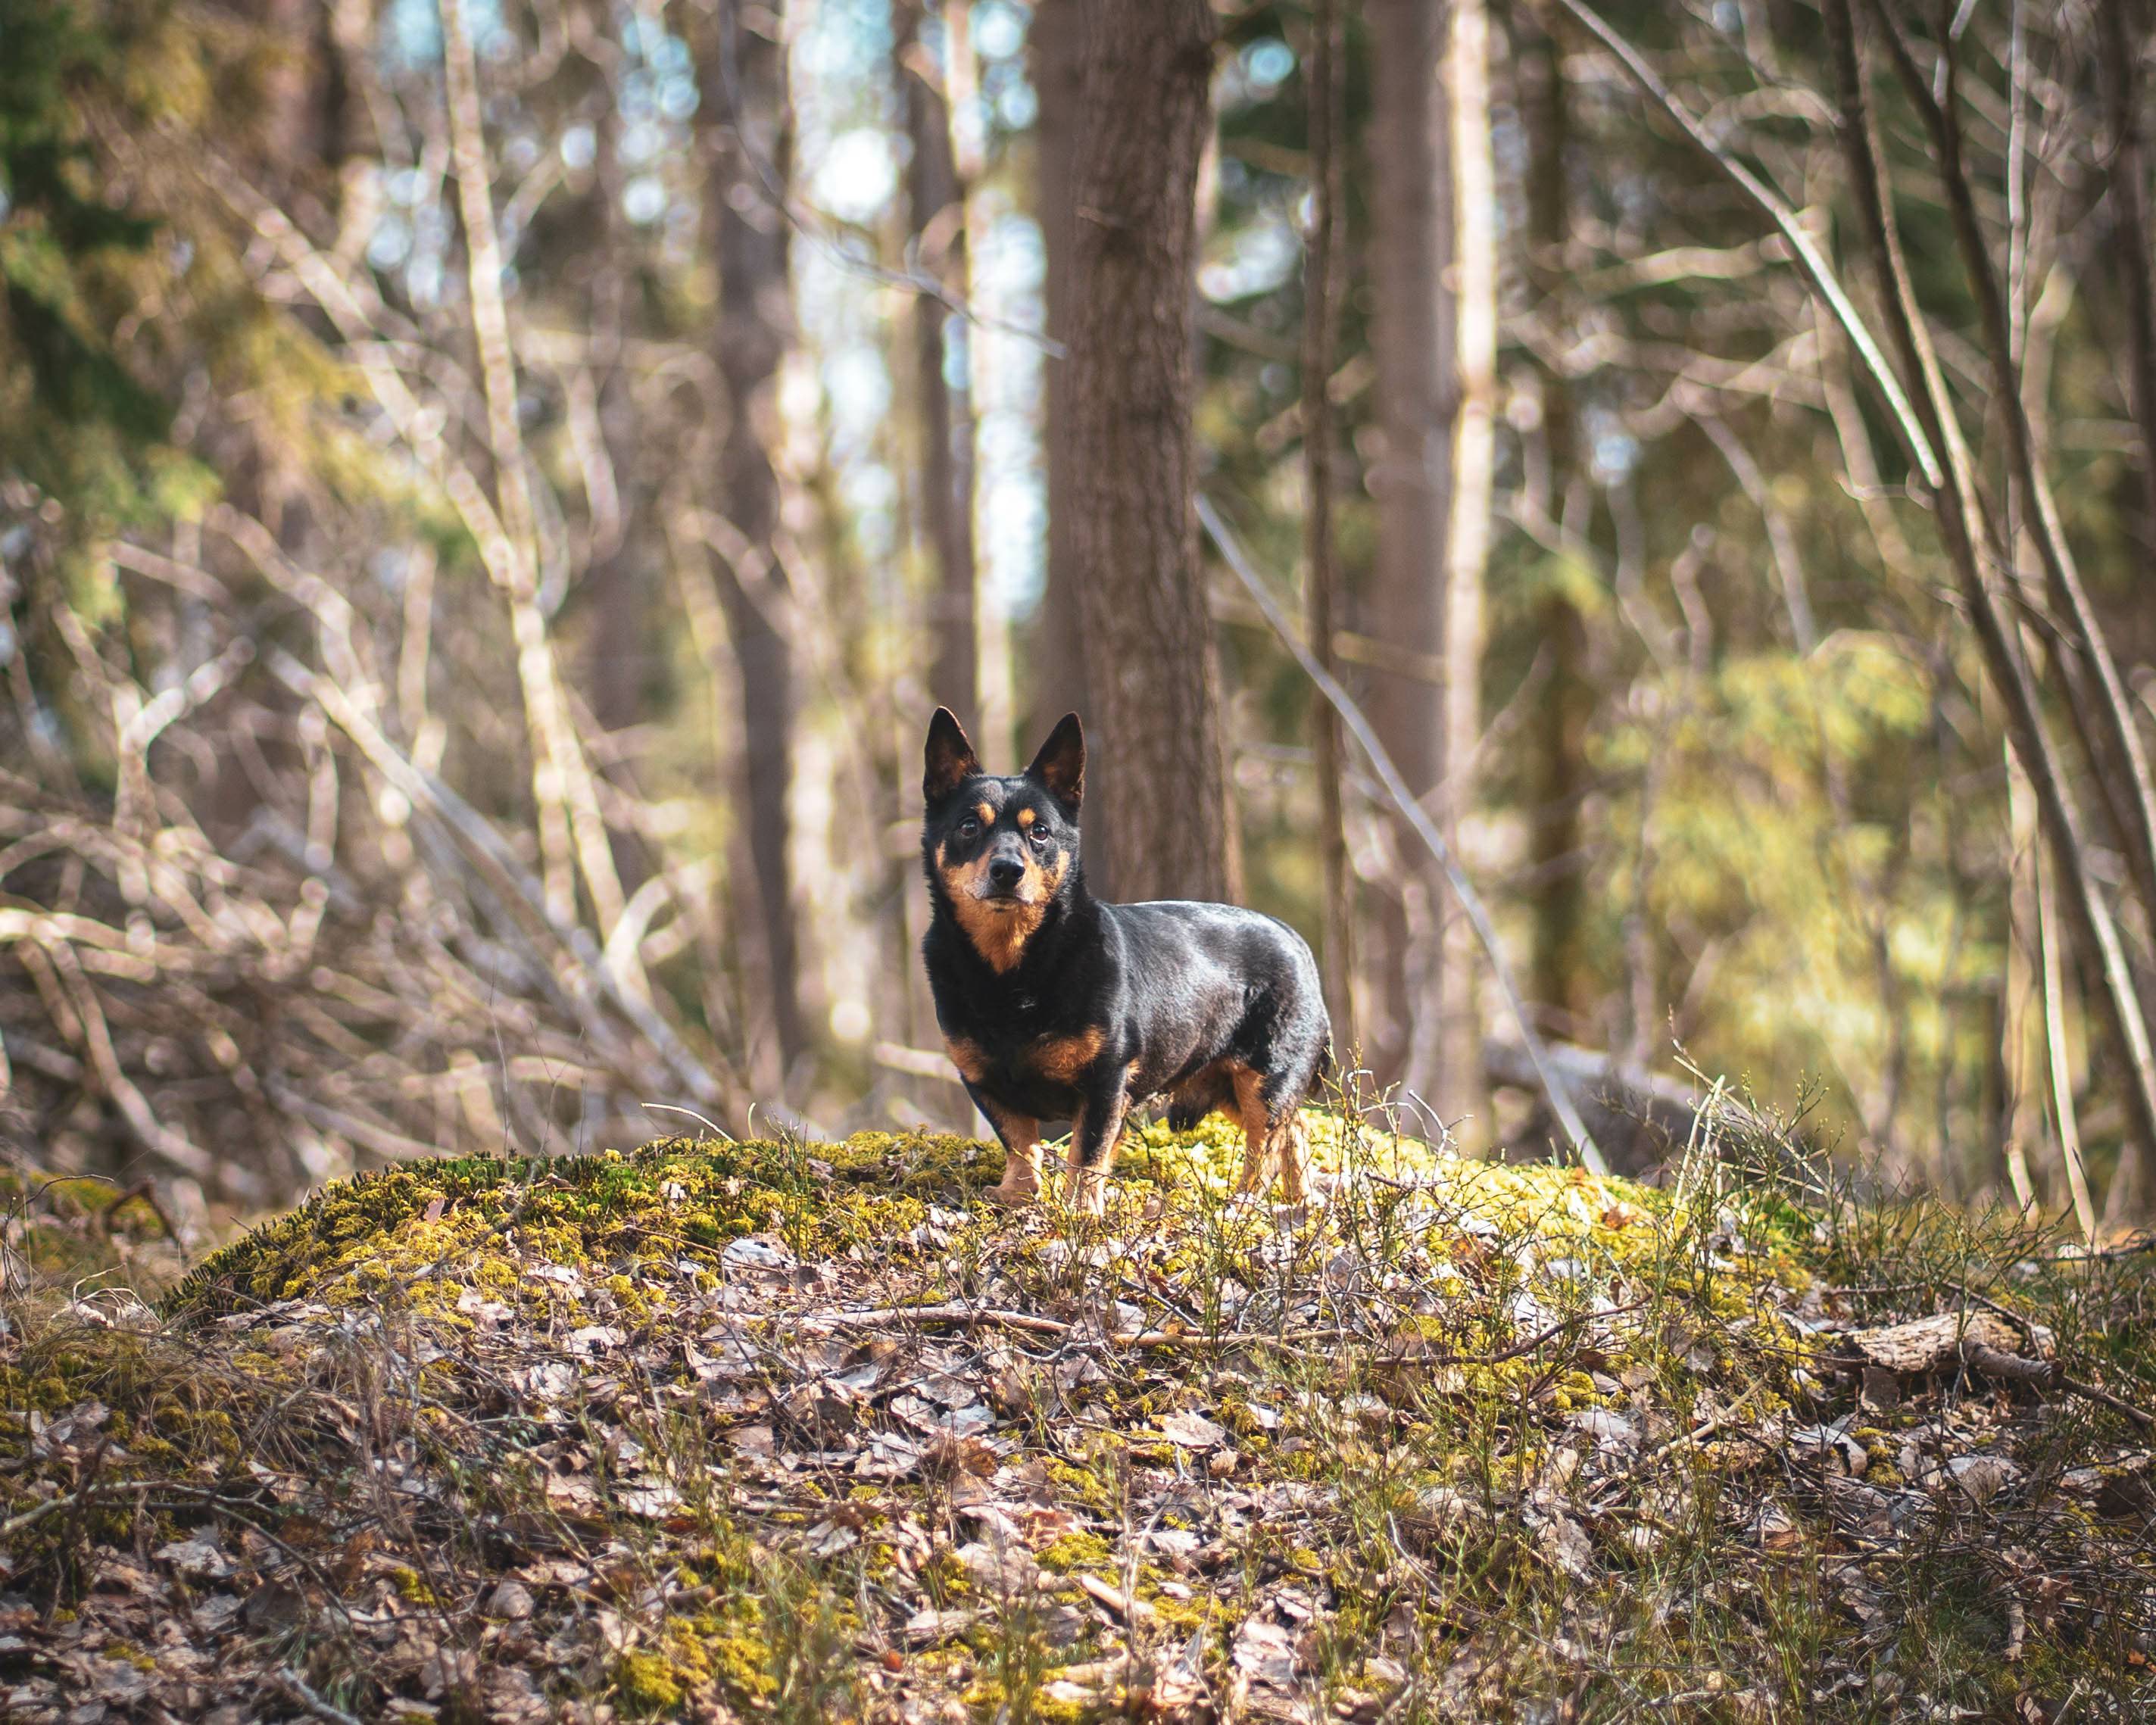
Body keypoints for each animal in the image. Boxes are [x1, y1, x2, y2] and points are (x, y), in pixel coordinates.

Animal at [914, 707, 1319, 1207]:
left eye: (1040, 832)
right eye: (969, 826)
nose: (1008, 870)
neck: (1013, 968)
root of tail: (1294, 938)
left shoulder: (1106, 1081)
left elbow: (1087, 1155)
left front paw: (1080, 1212)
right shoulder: (985, 1082)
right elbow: (1021, 1143)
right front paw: (1019, 1195)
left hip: (1266, 1076)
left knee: (1265, 1148)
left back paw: (1241, 1205)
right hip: (1230, 1082)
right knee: (1294, 1131)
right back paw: (1302, 1203)